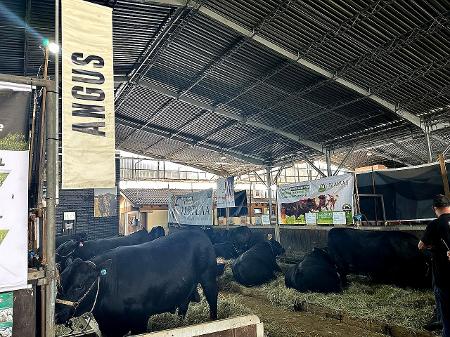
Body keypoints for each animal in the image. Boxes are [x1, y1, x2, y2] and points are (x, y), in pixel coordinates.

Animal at [55, 230, 217, 336]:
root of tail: (197, 232)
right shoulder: (108, 326)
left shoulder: (140, 319)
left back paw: (213, 320)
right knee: (183, 306)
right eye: (59, 283)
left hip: (208, 276)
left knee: (212, 299)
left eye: (79, 286)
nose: (56, 314)